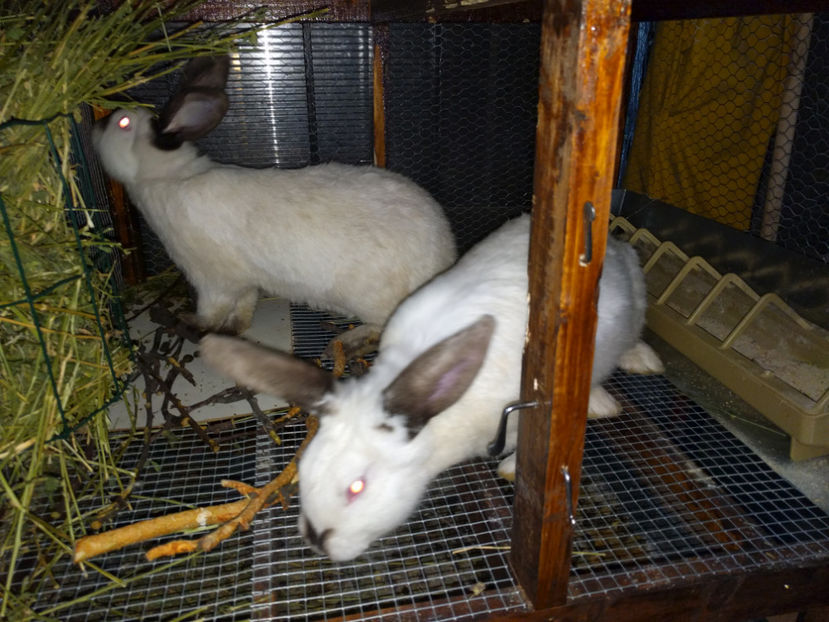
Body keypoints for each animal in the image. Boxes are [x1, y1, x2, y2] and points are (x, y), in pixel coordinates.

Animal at [93, 57, 456, 356]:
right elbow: (244, 306)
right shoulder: (244, 283)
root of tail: (445, 258)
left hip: (373, 298)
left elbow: (211, 310)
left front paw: (191, 322)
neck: (166, 176)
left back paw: (346, 343)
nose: (97, 125)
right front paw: (236, 328)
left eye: (122, 123)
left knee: (383, 325)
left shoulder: (212, 279)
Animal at [199, 216, 660, 564]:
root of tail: (615, 246)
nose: (316, 539)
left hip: (633, 310)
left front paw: (510, 470)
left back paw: (628, 378)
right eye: (306, 469)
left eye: (356, 488)